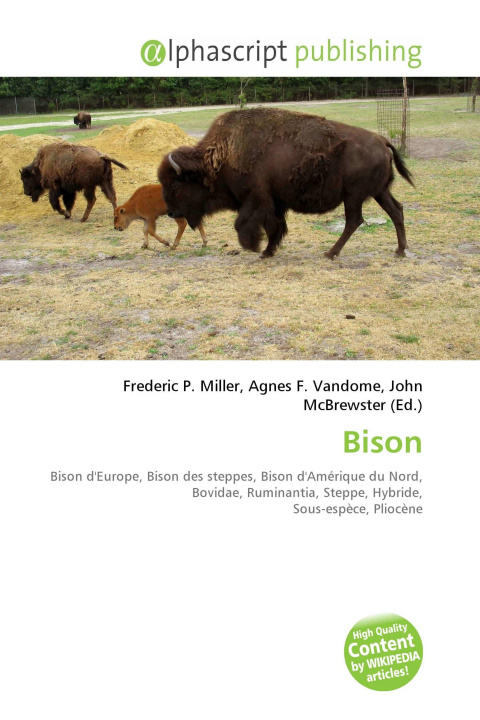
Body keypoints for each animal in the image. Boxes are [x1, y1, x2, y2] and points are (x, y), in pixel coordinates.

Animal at [158, 108, 414, 259]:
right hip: (379, 192)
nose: (170, 212)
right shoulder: (275, 203)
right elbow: (277, 226)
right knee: (396, 211)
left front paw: (254, 247)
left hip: (354, 196)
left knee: (355, 220)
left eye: (175, 186)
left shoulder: (257, 199)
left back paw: (330, 253)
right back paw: (400, 250)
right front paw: (267, 251)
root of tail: (381, 140)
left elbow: (244, 224)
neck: (219, 157)